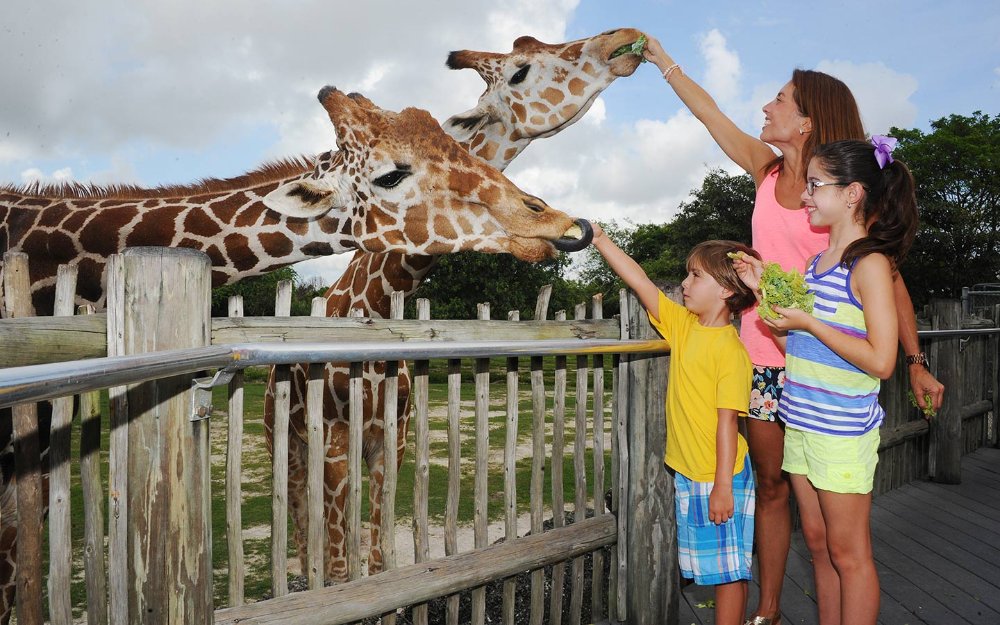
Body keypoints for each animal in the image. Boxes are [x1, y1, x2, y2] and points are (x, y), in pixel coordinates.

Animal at [262, 29, 644, 584]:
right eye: (521, 68)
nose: (625, 41)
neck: (375, 310)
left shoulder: (392, 441)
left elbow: (378, 556)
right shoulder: (332, 443)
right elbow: (336, 563)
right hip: (284, 441)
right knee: (299, 519)